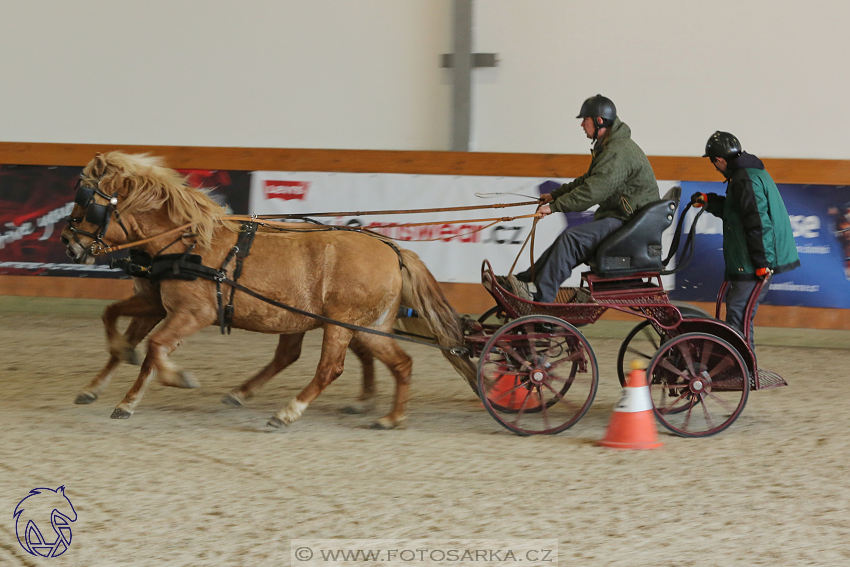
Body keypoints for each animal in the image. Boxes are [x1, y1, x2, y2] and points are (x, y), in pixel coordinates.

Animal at [63, 153, 474, 428]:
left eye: (87, 204)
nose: (69, 245)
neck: (188, 243)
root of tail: (393, 249)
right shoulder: (156, 302)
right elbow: (121, 328)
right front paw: (105, 382)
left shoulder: (192, 313)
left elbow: (155, 348)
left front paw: (164, 384)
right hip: (366, 325)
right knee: (399, 363)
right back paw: (391, 417)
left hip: (342, 323)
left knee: (330, 367)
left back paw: (289, 411)